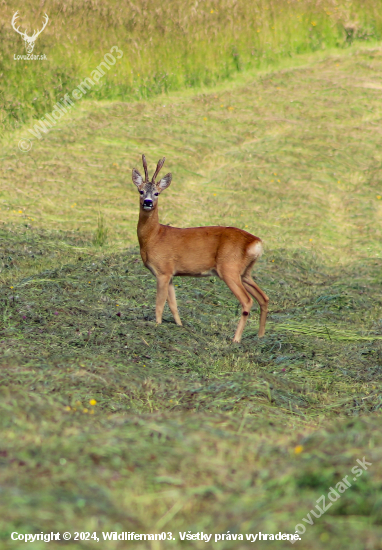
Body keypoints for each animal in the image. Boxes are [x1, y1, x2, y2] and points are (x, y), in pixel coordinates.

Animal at [131, 155, 268, 342]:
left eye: (157, 193)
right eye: (141, 191)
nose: (147, 202)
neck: (154, 236)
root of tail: (256, 242)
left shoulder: (163, 271)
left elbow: (159, 304)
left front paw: (157, 326)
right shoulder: (172, 274)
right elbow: (173, 305)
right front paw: (180, 327)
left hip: (229, 268)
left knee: (247, 300)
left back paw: (236, 339)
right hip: (245, 272)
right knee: (264, 298)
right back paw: (260, 337)